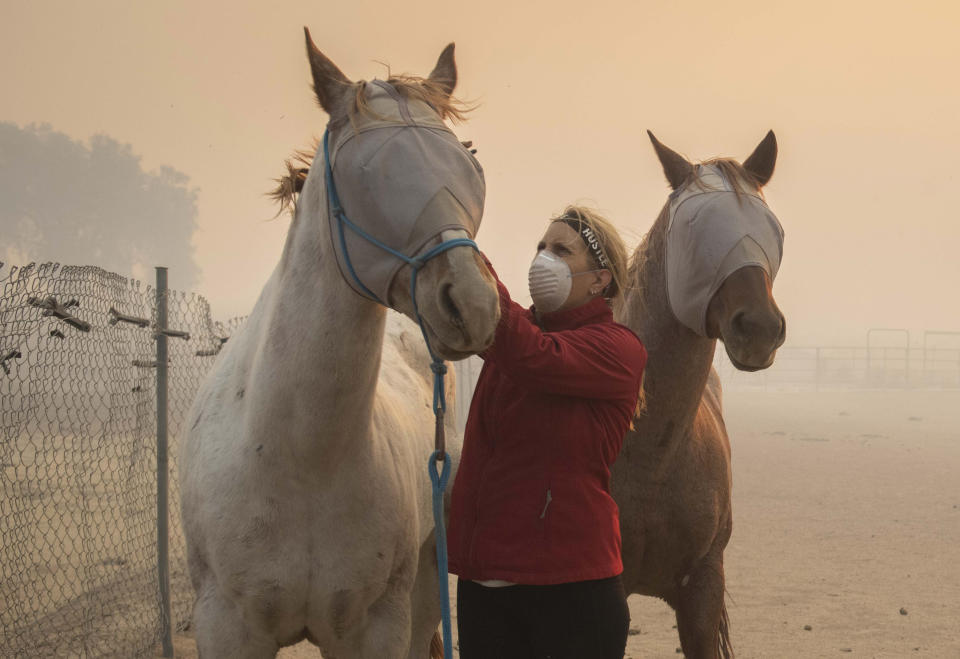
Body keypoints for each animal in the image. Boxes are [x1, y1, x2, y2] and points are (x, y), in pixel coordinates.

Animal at [176, 32, 498, 659]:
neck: (301, 460)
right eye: (366, 172)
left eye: (470, 164)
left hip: (425, 583)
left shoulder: (374, 627)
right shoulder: (226, 626)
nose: (472, 304)